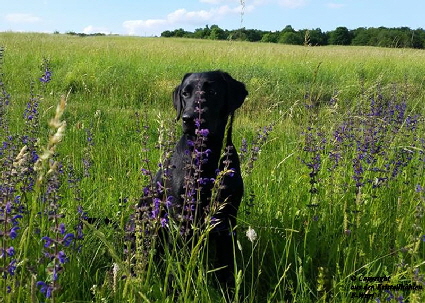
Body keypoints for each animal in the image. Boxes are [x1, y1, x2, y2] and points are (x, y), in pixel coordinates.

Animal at [154, 70, 247, 288]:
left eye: (212, 92)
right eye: (185, 93)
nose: (188, 118)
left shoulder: (228, 217)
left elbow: (226, 262)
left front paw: (228, 288)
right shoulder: (181, 216)